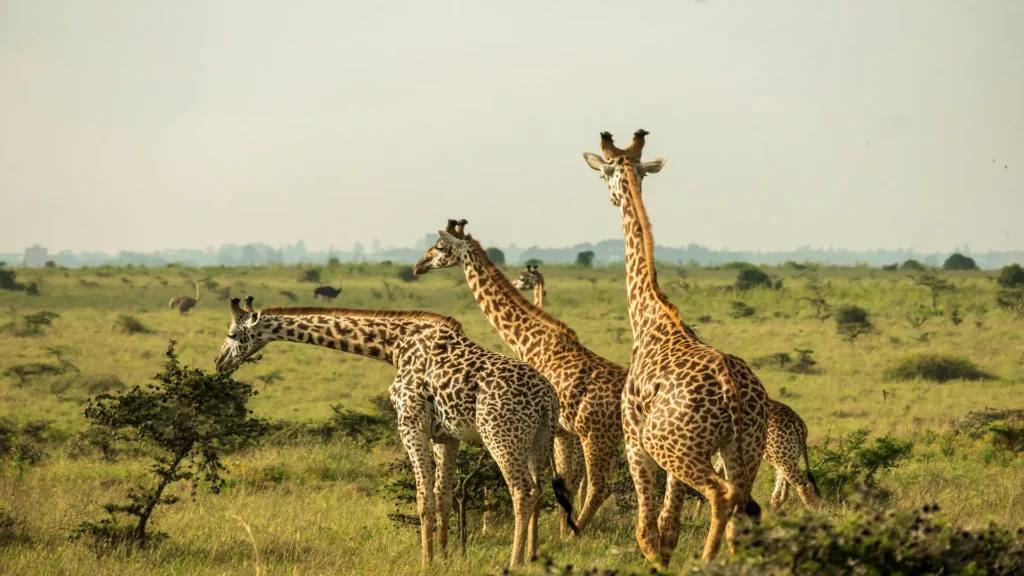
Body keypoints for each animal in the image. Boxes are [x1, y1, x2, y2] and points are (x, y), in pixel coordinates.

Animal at [213, 297, 577, 567]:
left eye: (231, 334)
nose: (218, 362)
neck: (394, 345)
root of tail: (548, 397)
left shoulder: (410, 424)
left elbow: (423, 499)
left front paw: (425, 563)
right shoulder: (446, 436)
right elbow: (443, 498)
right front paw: (444, 558)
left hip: (500, 435)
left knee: (523, 491)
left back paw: (514, 561)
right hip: (538, 440)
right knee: (539, 490)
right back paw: (532, 556)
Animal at [414, 220, 626, 535]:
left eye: (440, 247)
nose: (419, 266)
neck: (529, 341)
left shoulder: (560, 429)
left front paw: (561, 534)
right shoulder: (562, 431)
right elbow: (564, 483)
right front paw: (559, 531)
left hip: (598, 436)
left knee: (600, 487)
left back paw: (578, 535)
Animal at [582, 130, 770, 566]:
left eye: (602, 176)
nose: (610, 198)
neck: (648, 317)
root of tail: (732, 391)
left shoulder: (635, 437)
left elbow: (648, 531)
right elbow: (669, 527)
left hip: (674, 445)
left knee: (723, 495)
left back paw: (707, 562)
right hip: (743, 446)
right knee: (742, 510)